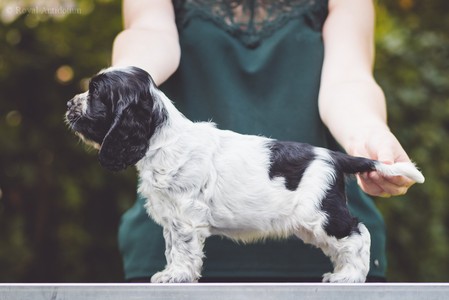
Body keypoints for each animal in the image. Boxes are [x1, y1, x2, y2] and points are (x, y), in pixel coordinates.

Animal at [65, 66, 424, 284]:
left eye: (95, 94)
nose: (69, 103)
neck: (161, 139)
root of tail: (333, 155)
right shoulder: (171, 217)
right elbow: (171, 248)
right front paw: (171, 272)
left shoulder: (185, 218)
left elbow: (182, 249)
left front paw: (176, 275)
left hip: (321, 214)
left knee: (358, 235)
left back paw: (348, 277)